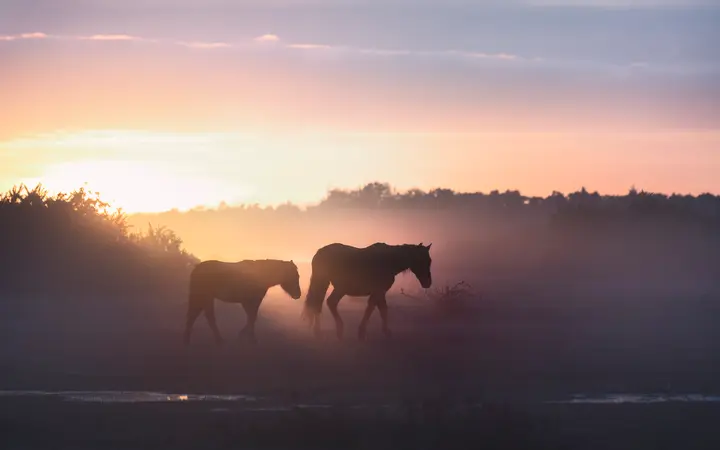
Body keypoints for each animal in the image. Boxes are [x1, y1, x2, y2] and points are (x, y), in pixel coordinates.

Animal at [302, 242, 432, 341]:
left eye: (429, 260)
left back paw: (318, 331)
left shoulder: (379, 292)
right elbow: (374, 309)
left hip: (329, 285)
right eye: (422, 260)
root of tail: (319, 253)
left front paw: (383, 331)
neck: (388, 261)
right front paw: (364, 332)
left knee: (318, 304)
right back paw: (338, 330)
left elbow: (380, 309)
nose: (428, 283)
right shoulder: (378, 291)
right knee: (329, 302)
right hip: (339, 287)